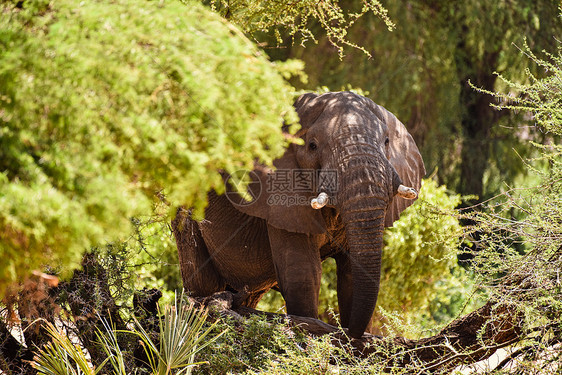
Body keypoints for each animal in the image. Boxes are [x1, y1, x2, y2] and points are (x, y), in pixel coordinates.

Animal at [173, 92, 422, 340]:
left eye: (387, 142)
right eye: (312, 146)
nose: (350, 334)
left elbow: (352, 274)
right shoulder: (279, 196)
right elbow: (303, 273)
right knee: (204, 281)